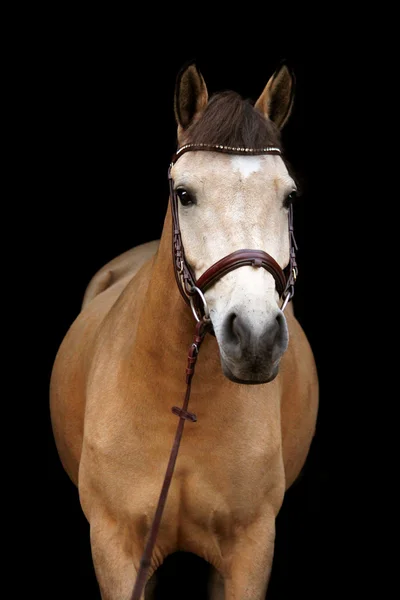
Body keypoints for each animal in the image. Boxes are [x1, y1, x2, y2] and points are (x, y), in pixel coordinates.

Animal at [50, 62, 318, 600]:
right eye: (184, 194)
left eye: (289, 196)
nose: (255, 337)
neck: (184, 404)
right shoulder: (116, 548)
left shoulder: (249, 551)